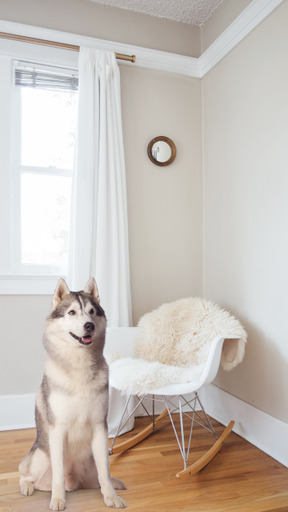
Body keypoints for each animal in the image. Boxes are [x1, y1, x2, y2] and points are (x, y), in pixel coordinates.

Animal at [18, 278, 126, 510]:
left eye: (92, 311)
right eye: (72, 312)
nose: (89, 325)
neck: (79, 368)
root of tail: (74, 483)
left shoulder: (99, 426)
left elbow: (105, 471)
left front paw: (111, 497)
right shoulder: (58, 429)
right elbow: (58, 473)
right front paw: (58, 500)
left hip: (91, 463)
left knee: (100, 476)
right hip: (41, 456)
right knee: (25, 474)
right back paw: (28, 487)